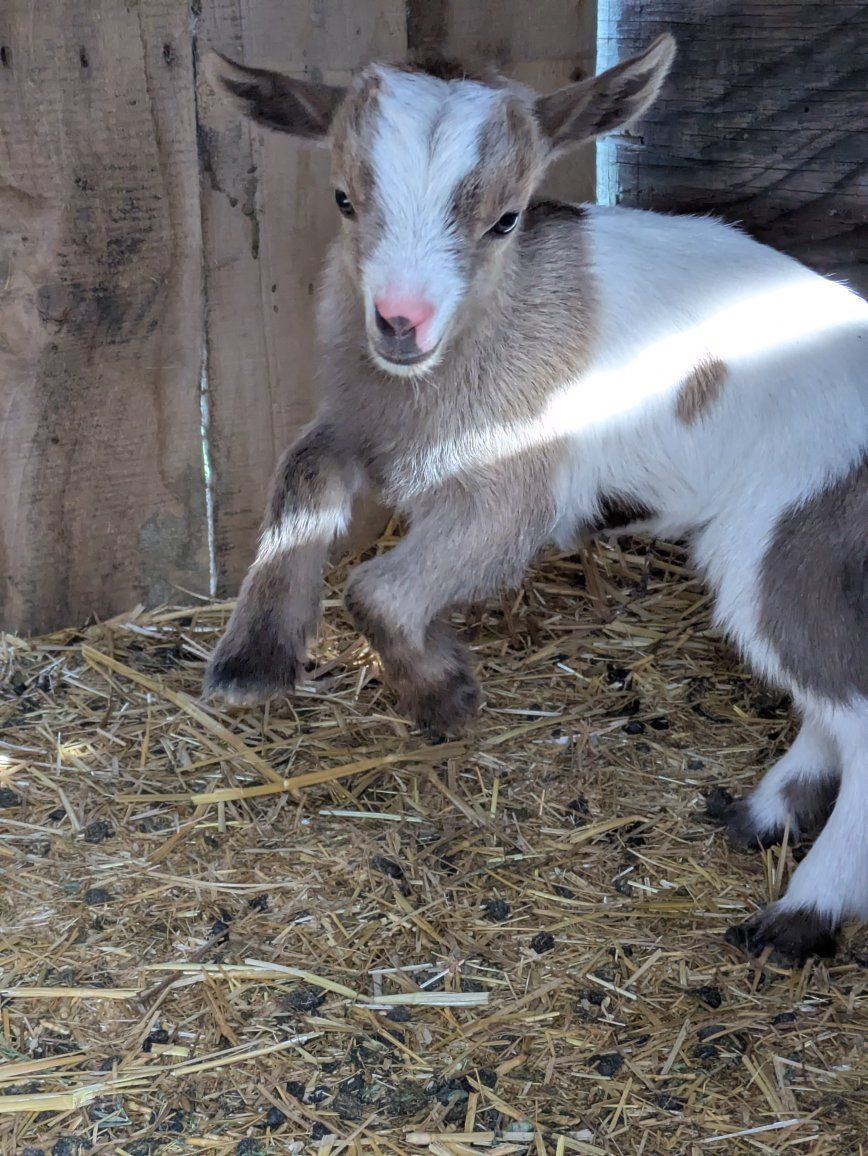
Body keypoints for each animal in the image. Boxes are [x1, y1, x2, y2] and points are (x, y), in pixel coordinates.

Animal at [203, 37, 868, 965]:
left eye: (506, 219)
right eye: (343, 198)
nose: (399, 323)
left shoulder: (516, 484)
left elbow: (379, 589)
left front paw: (444, 695)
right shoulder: (363, 423)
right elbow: (300, 475)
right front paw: (254, 659)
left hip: (793, 530)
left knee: (852, 702)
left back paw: (802, 911)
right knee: (827, 693)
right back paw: (763, 814)